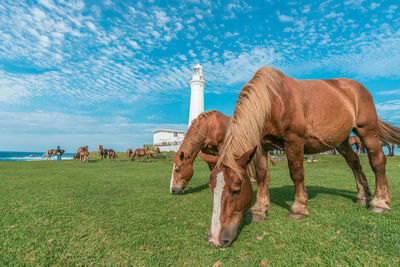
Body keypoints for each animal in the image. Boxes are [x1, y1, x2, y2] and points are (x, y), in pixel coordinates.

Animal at [202, 67, 400, 249]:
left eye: (236, 190)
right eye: (212, 189)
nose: (215, 240)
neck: (273, 100)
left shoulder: (294, 141)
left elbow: (296, 173)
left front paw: (298, 208)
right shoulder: (261, 145)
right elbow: (262, 176)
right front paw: (260, 209)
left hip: (368, 131)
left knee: (378, 161)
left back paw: (379, 202)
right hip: (341, 141)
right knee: (354, 163)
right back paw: (363, 196)